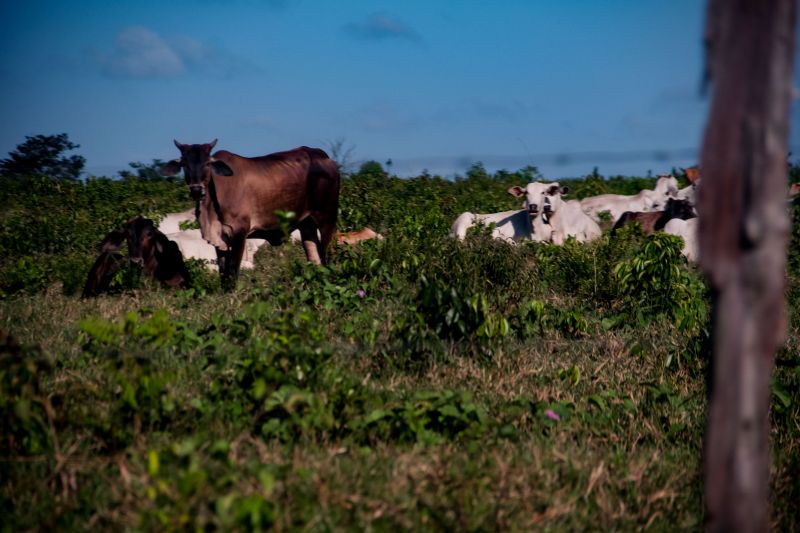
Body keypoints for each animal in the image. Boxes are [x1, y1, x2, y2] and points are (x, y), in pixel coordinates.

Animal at [161, 137, 340, 286]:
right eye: (184, 164)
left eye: (207, 164)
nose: (196, 190)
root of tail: (322, 156)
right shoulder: (220, 239)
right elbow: (223, 275)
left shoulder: (239, 233)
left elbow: (232, 273)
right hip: (307, 225)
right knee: (315, 259)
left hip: (327, 220)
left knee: (326, 256)